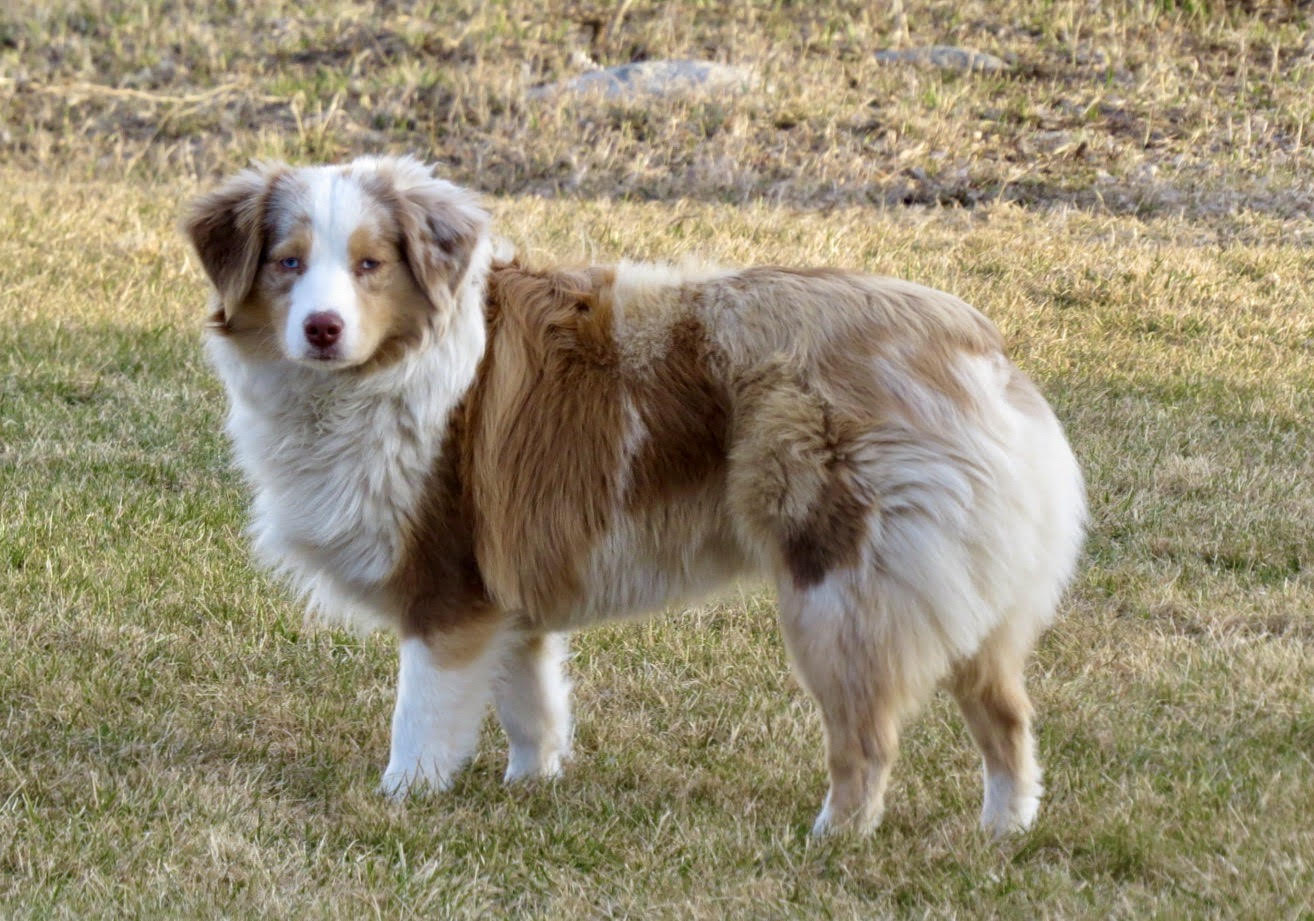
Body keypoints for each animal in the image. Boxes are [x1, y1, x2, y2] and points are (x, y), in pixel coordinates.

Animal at [185, 156, 1087, 835]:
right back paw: (1003, 830)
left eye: (370, 265)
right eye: (288, 262)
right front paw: (531, 785)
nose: (322, 329)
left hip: (843, 591)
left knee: (868, 738)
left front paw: (400, 797)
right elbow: (531, 703)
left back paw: (834, 835)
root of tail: (974, 347)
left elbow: (422, 717)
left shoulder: (445, 590)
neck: (388, 369)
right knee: (1008, 717)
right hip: (966, 590)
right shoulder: (507, 589)